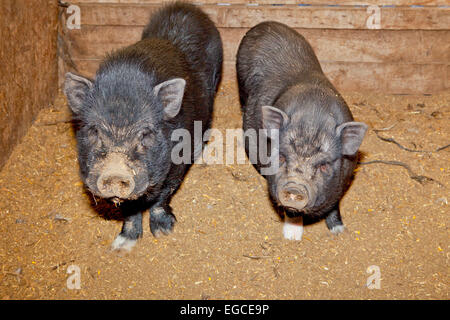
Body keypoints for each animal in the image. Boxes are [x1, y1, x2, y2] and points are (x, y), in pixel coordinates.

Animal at [64, 2, 222, 251]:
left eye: (145, 134)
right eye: (94, 132)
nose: (115, 172)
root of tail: (185, 6)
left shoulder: (177, 159)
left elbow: (163, 195)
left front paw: (165, 232)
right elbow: (129, 208)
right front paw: (121, 246)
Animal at [237, 21, 368, 239]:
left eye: (324, 165)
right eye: (281, 157)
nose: (295, 186)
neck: (312, 121)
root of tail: (264, 25)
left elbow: (334, 204)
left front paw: (339, 231)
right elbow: (291, 211)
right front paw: (291, 237)